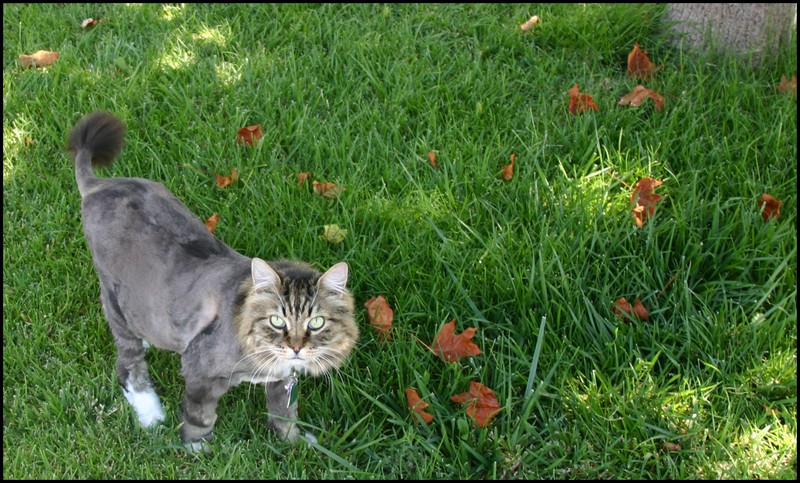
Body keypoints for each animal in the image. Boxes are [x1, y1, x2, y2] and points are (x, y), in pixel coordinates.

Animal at [67, 111, 358, 452]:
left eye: (316, 323)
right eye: (276, 320)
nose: (297, 347)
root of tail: (98, 186)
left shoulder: (282, 382)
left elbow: (285, 415)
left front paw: (296, 445)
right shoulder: (201, 373)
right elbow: (200, 417)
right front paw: (197, 449)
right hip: (119, 306)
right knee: (128, 367)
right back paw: (151, 415)